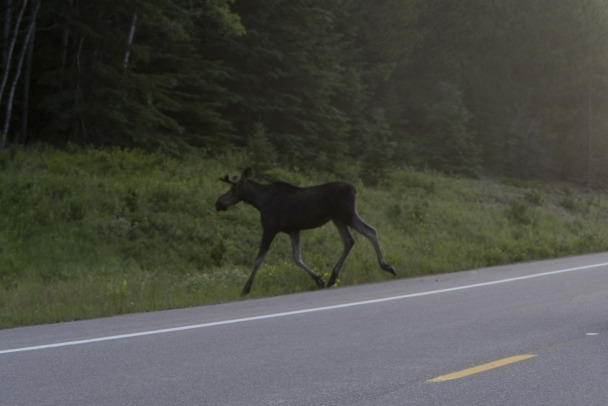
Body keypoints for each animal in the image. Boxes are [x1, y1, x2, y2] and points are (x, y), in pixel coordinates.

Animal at [216, 167, 396, 294]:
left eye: (233, 189)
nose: (218, 203)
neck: (259, 202)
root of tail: (354, 189)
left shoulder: (270, 228)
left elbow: (259, 259)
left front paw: (246, 288)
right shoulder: (293, 230)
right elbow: (297, 258)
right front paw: (318, 279)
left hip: (346, 214)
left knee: (369, 231)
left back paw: (385, 266)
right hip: (338, 218)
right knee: (350, 239)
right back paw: (333, 277)